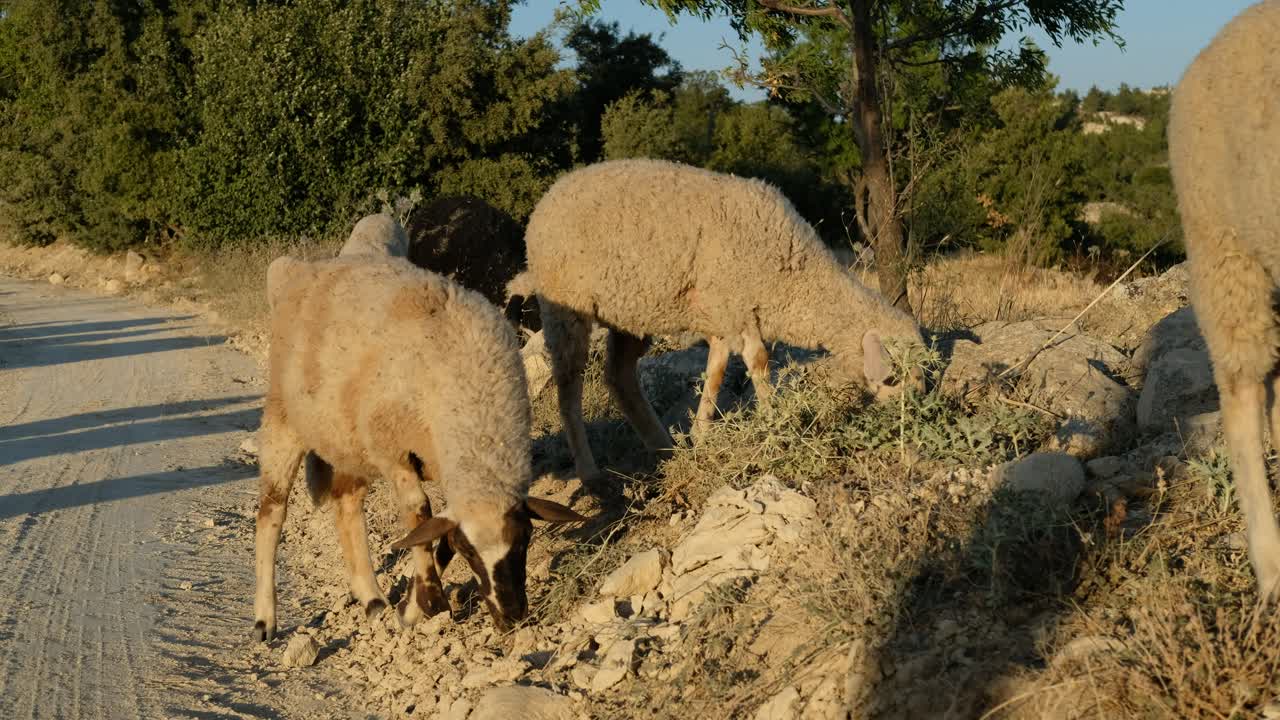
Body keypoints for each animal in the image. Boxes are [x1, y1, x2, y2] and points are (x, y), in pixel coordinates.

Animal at [253, 254, 586, 642]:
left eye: (526, 540)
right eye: (469, 552)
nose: (512, 617)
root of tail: (305, 268)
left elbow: (435, 532)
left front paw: (409, 608)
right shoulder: (394, 449)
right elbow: (419, 513)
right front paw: (430, 601)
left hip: (350, 440)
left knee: (347, 507)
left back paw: (373, 600)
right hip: (285, 418)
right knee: (271, 512)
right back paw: (265, 619)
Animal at [520, 158, 926, 482]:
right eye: (898, 376)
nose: (915, 420)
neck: (796, 274)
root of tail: (551, 195)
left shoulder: (725, 314)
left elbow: (716, 370)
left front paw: (700, 435)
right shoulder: (736, 307)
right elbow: (758, 362)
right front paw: (777, 424)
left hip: (632, 311)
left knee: (619, 377)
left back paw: (663, 448)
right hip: (565, 306)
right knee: (568, 385)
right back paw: (589, 472)